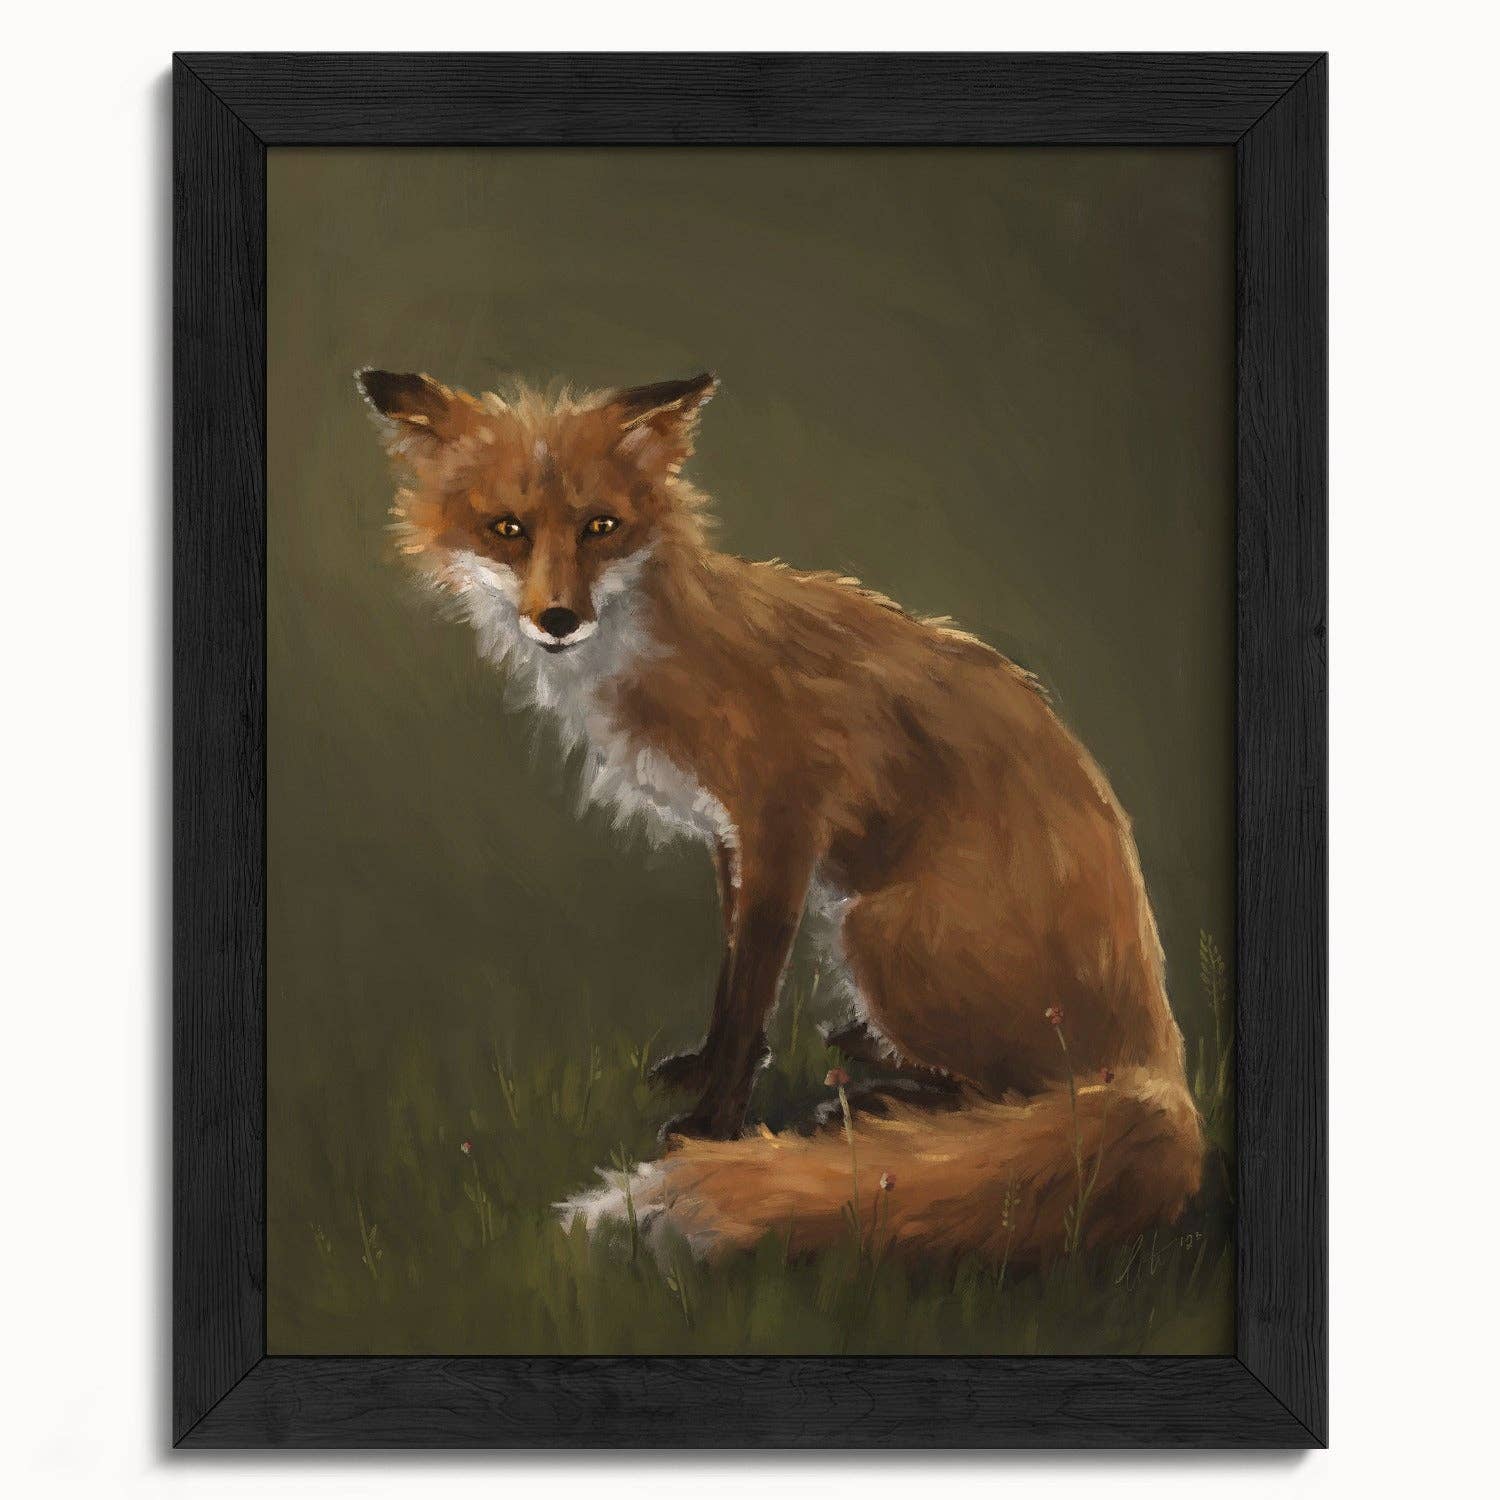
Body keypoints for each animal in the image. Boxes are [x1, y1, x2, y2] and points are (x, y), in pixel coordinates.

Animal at [357, 365, 1204, 1265]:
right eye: (507, 530)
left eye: (601, 527)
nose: (558, 619)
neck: (664, 650)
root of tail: (1159, 1059)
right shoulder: (730, 835)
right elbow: (732, 982)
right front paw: (705, 1071)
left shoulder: (783, 825)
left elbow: (750, 994)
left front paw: (710, 1124)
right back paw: (870, 1060)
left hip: (873, 930)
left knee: (1028, 1098)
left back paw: (877, 1103)